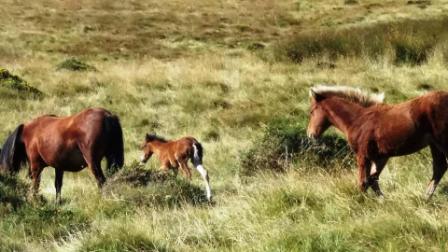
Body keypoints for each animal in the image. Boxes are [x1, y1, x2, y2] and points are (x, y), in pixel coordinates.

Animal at [308, 85, 448, 198]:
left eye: (311, 111)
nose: (310, 134)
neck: (359, 119)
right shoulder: (380, 157)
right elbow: (373, 179)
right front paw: (383, 200)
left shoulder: (363, 156)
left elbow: (364, 182)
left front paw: (360, 203)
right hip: (434, 145)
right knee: (439, 168)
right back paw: (425, 197)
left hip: (442, 142)